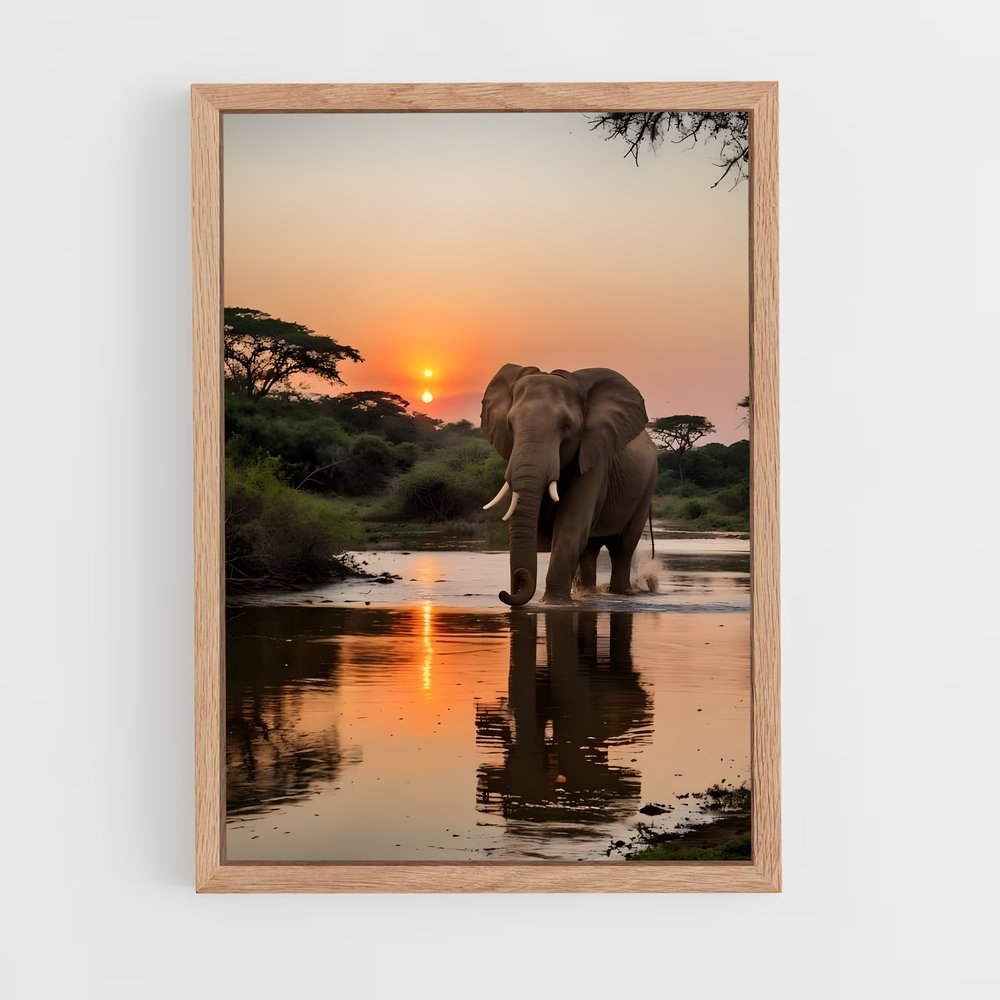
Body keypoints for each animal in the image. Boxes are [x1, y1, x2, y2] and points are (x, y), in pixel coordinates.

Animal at [480, 363, 658, 606]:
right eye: (509, 424)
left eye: (566, 426)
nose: (505, 593)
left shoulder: (595, 457)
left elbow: (570, 526)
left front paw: (554, 603)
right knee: (590, 548)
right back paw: (588, 593)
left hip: (646, 487)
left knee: (622, 547)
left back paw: (621, 593)